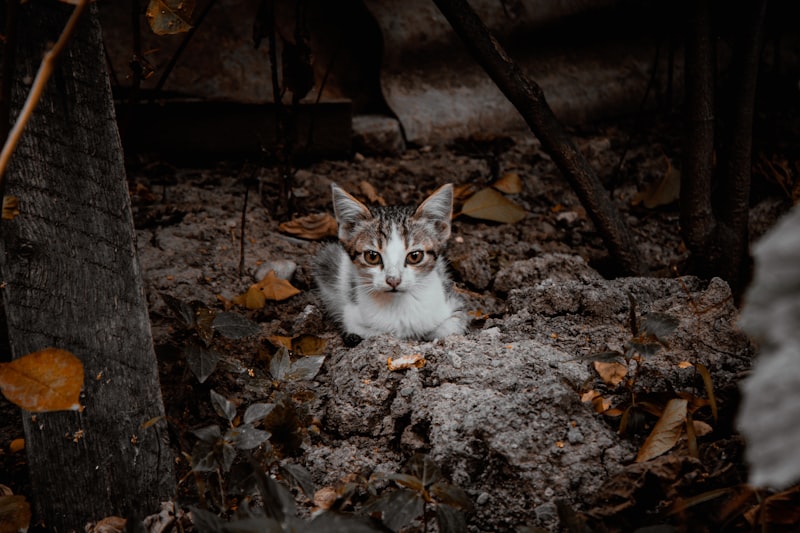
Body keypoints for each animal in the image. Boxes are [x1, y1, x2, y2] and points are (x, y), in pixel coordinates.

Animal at [310, 181, 466, 342]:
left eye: (415, 256)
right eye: (372, 256)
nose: (393, 280)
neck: (399, 306)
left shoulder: (453, 302)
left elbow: (451, 327)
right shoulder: (352, 317)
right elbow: (371, 333)